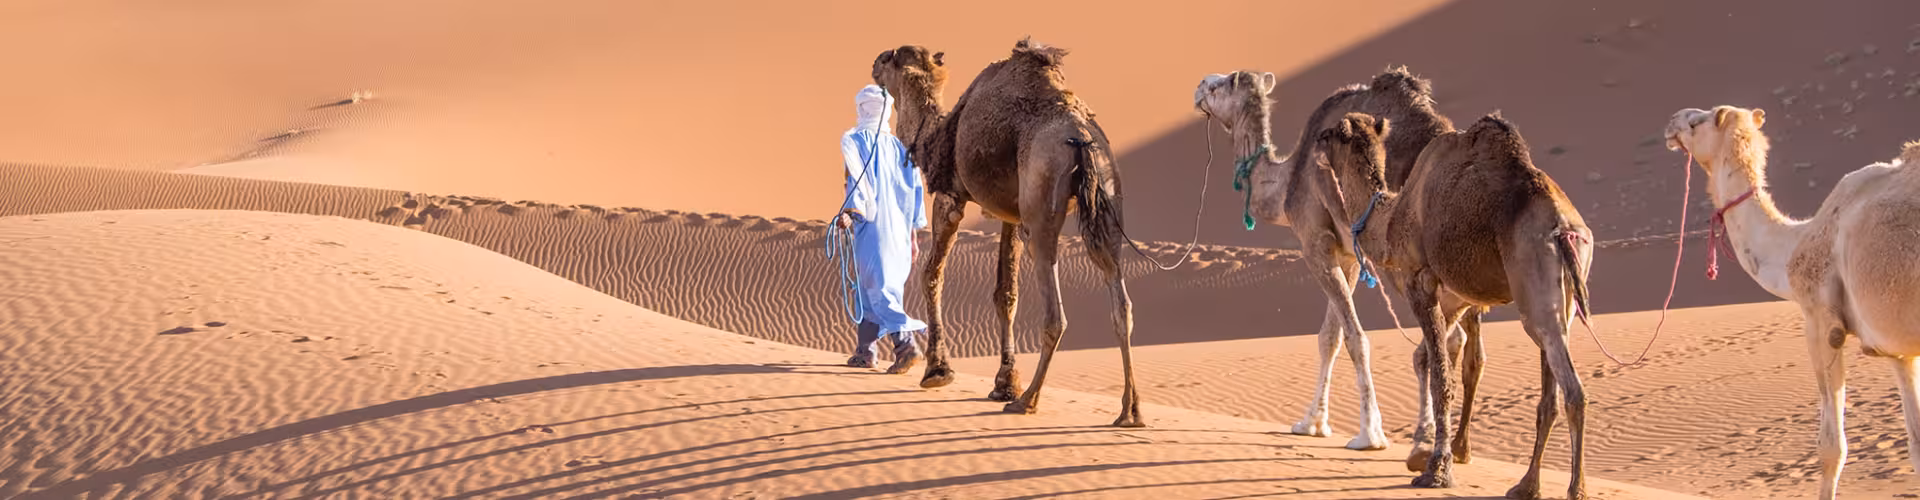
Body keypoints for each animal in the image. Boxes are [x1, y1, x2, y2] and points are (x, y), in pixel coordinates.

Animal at [871, 39, 1145, 427]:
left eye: (891, 57)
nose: (874, 63)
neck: (935, 138)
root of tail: (1081, 137)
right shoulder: (1009, 216)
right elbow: (1006, 294)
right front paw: (1004, 383)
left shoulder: (951, 197)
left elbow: (931, 275)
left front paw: (938, 372)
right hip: (1107, 196)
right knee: (1121, 304)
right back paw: (1129, 410)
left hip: (1042, 205)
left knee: (1055, 314)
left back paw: (1028, 400)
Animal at [1192, 68, 1488, 455]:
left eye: (1219, 85)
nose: (1197, 89)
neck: (1285, 182)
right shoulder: (1347, 255)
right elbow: (1329, 337)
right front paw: (1311, 423)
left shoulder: (1315, 242)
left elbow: (1354, 337)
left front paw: (1369, 435)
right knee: (1470, 344)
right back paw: (1458, 446)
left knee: (1442, 342)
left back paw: (1425, 437)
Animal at [1313, 112, 1595, 499]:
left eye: (1330, 134)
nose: (1314, 143)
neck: (1391, 218)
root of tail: (1566, 229)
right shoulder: (1456, 296)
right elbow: (1435, 359)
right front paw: (1431, 453)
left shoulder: (1420, 280)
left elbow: (1440, 377)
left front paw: (1436, 470)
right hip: (1562, 299)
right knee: (1552, 393)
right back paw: (1526, 485)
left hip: (1535, 289)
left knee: (1572, 389)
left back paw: (1574, 489)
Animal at [1663, 105, 1920, 500]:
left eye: (1696, 122)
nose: (1672, 121)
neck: (1794, 243)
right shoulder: (1897, 348)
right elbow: (1917, 446)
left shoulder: (1821, 322)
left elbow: (1831, 448)